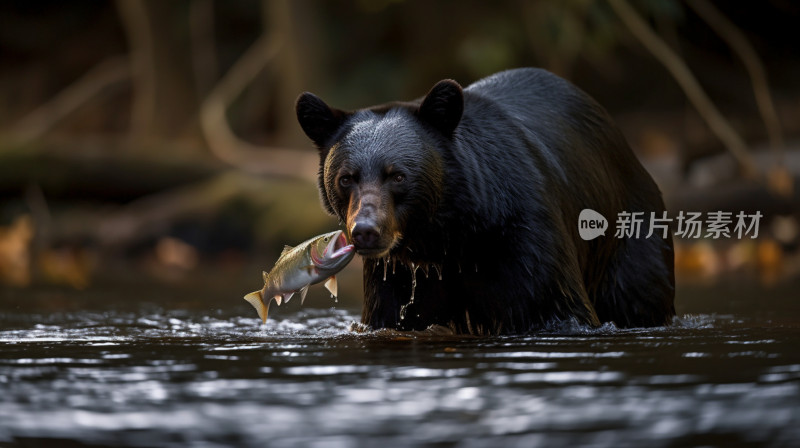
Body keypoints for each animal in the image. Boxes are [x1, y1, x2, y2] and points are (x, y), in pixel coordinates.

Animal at [296, 65, 672, 332]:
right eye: (346, 178)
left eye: (398, 175)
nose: (366, 231)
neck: (447, 237)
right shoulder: (395, 272)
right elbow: (392, 316)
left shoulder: (523, 235)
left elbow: (554, 306)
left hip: (627, 236)